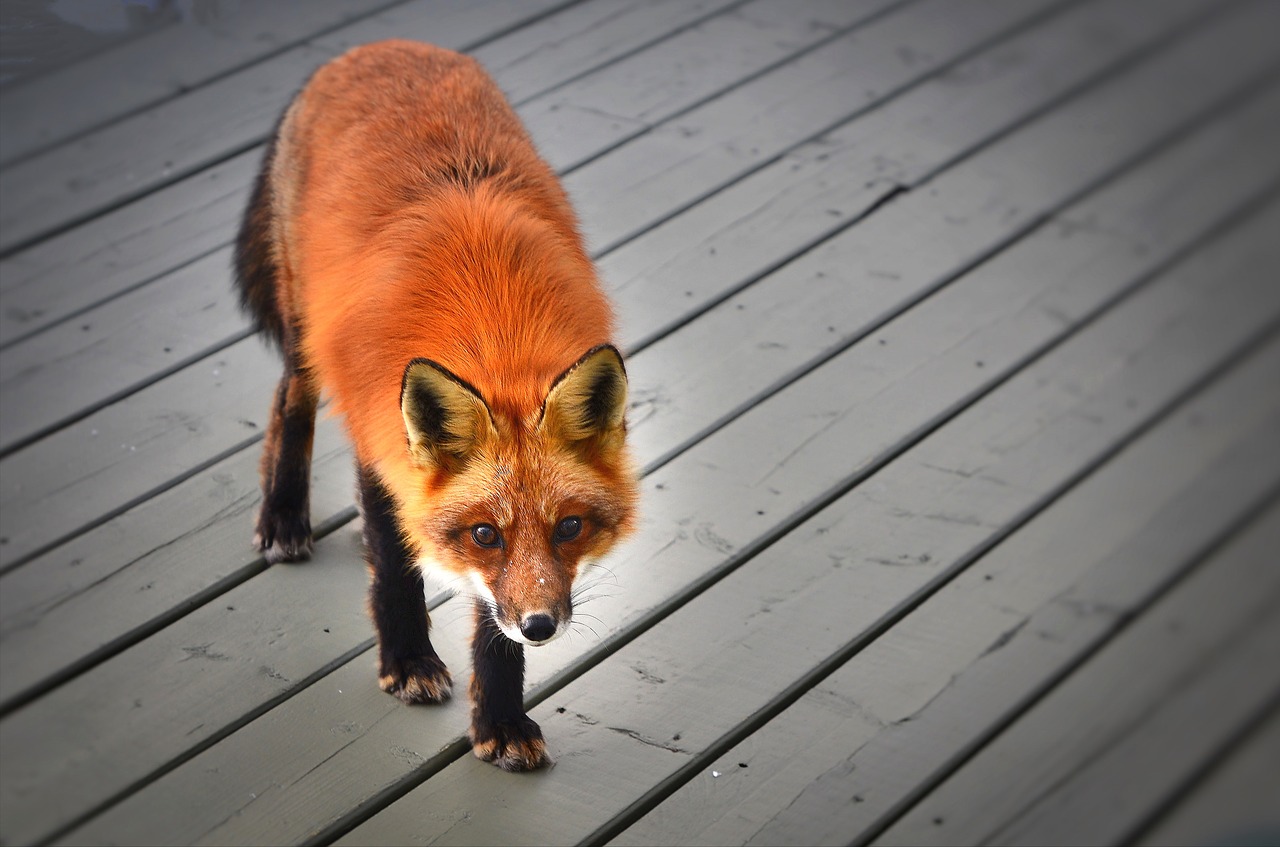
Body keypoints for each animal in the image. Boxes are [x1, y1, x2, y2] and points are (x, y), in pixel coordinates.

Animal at [234, 39, 640, 772]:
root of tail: (374, 47)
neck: (491, 330)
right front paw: (407, 661)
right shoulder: (383, 445)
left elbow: (489, 620)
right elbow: (396, 568)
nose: (541, 626)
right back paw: (282, 513)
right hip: (308, 331)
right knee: (289, 400)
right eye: (485, 533)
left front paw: (499, 719)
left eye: (570, 527)